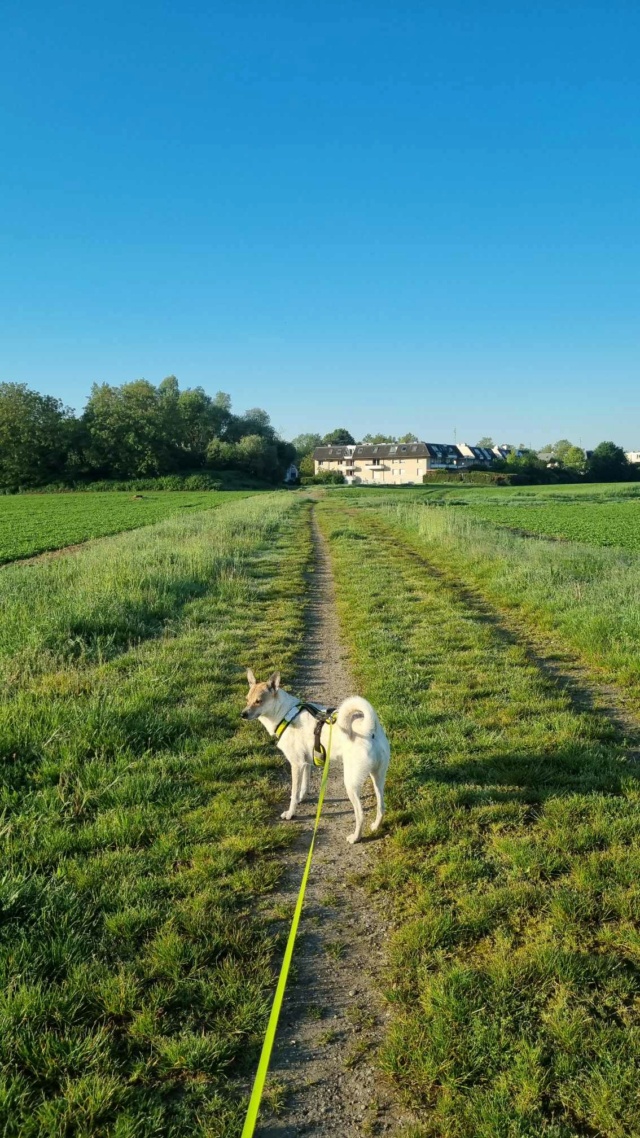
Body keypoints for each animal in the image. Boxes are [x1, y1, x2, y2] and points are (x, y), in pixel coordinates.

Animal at [240, 664, 387, 846]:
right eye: (247, 699)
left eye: (258, 701)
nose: (243, 714)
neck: (285, 713)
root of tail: (368, 729)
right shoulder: (306, 762)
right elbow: (304, 784)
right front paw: (301, 797)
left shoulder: (296, 764)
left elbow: (293, 791)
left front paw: (291, 813)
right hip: (378, 777)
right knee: (381, 806)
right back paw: (375, 826)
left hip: (351, 782)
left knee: (360, 814)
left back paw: (356, 837)